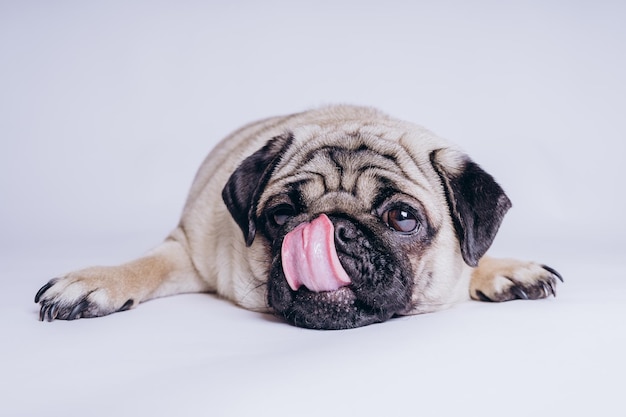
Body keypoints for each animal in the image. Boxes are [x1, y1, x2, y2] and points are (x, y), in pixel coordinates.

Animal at [33, 106, 560, 328]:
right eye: (283, 213)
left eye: (402, 217)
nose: (335, 228)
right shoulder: (186, 247)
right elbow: (146, 263)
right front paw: (96, 281)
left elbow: (471, 260)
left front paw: (503, 269)